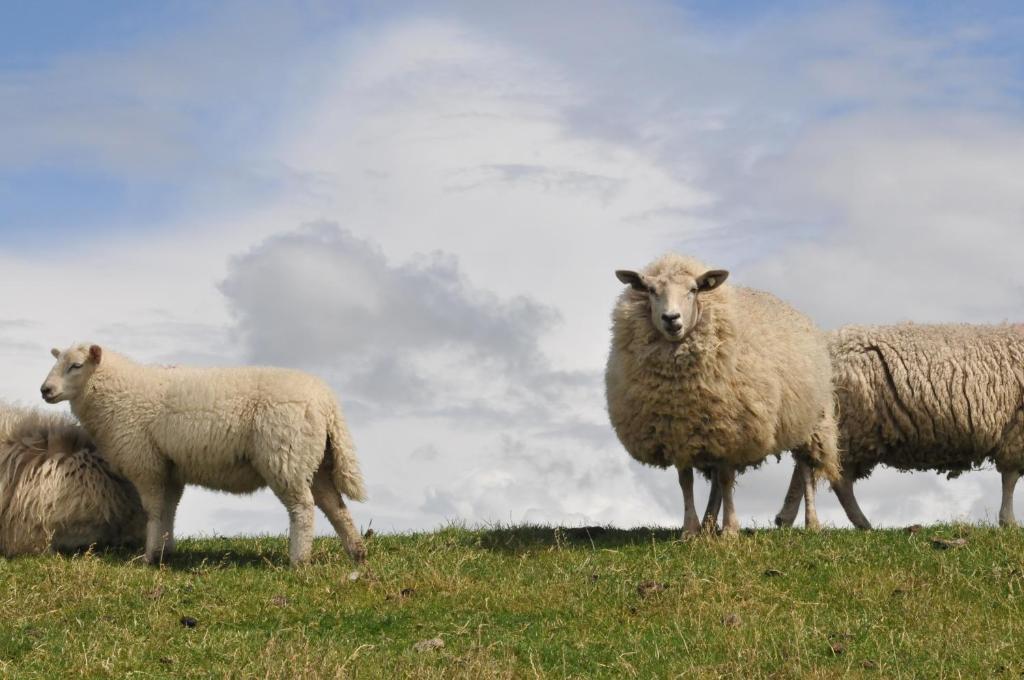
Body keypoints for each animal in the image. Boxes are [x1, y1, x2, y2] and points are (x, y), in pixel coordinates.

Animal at [40, 342, 368, 565]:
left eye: (76, 365)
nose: (45, 390)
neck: (118, 393)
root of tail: (326, 400)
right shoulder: (169, 467)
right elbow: (169, 510)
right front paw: (164, 551)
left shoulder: (147, 464)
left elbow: (154, 511)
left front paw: (149, 557)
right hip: (314, 459)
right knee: (334, 505)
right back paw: (357, 552)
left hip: (284, 455)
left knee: (304, 508)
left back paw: (298, 560)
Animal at [602, 251, 835, 532]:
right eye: (651, 290)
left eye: (693, 290)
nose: (671, 318)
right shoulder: (679, 433)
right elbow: (686, 482)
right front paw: (690, 529)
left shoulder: (732, 430)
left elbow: (725, 479)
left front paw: (730, 530)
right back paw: (708, 523)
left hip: (810, 421)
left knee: (805, 468)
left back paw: (812, 523)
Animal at [774, 321, 1024, 528]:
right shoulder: (1017, 433)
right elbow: (1010, 478)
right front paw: (1009, 522)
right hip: (846, 424)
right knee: (821, 472)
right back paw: (821, 522)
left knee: (820, 472)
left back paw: (789, 517)